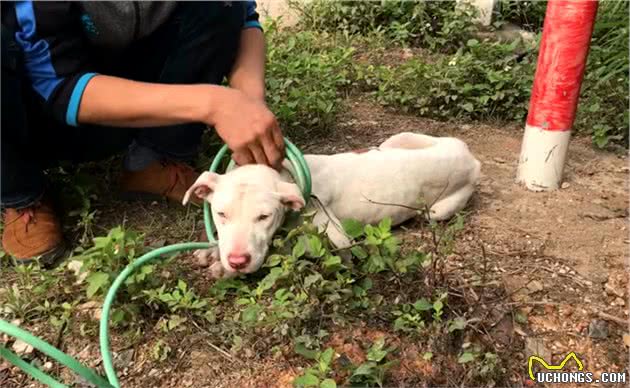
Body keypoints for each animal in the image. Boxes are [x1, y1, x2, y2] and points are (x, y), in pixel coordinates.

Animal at [185, 132, 482, 278]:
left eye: (264, 217)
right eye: (221, 214)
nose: (237, 261)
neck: (288, 174)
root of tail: (471, 157)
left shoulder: (336, 239)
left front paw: (223, 269)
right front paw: (213, 252)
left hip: (436, 212)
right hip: (397, 139)